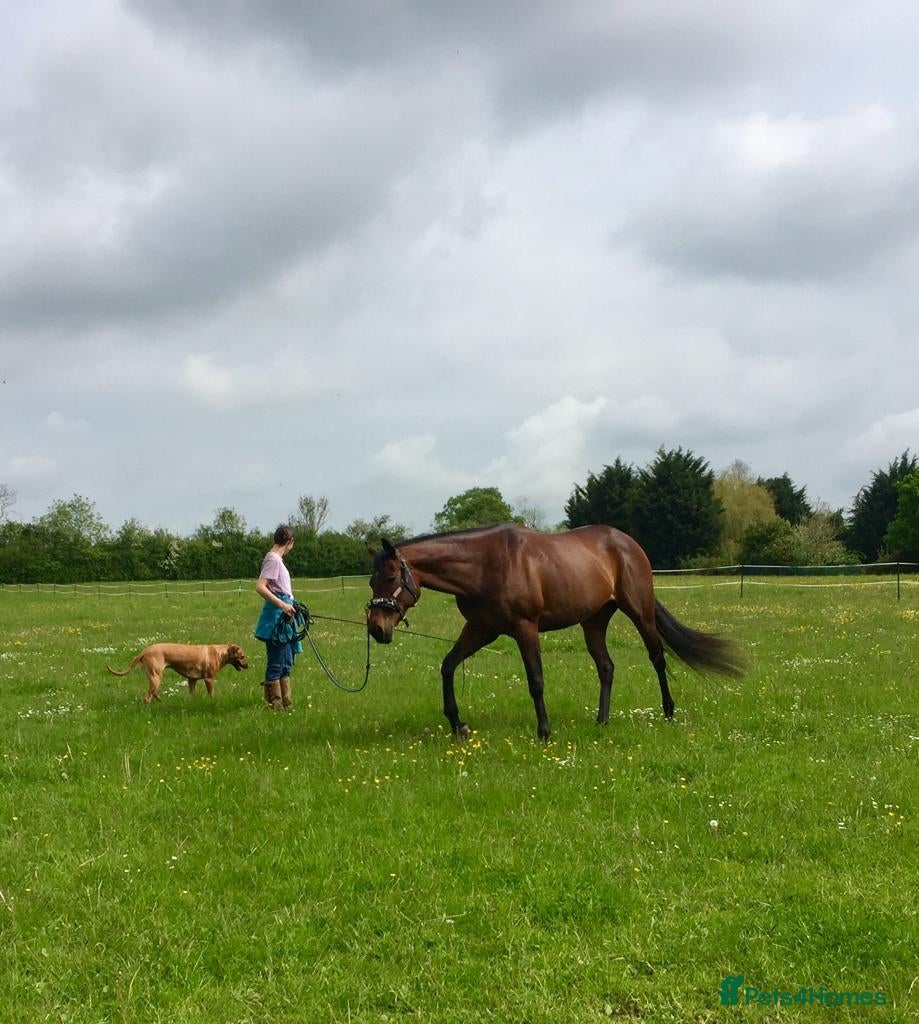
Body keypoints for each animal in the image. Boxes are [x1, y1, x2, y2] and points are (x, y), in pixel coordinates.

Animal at [367, 523, 744, 740]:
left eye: (390, 576)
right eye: (371, 581)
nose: (376, 628)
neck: (485, 565)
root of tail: (627, 543)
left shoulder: (525, 628)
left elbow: (535, 680)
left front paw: (544, 732)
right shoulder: (481, 628)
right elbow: (447, 666)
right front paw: (457, 725)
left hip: (639, 611)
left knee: (657, 657)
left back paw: (668, 712)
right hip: (594, 621)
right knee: (606, 667)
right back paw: (602, 722)